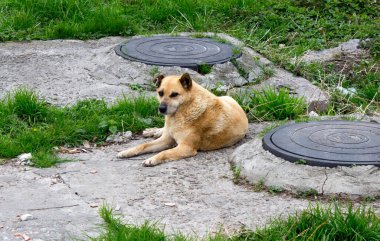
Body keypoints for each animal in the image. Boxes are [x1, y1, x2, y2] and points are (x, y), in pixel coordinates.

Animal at [119, 72, 249, 167]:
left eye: (174, 94)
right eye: (160, 93)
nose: (161, 109)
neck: (184, 111)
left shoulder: (186, 148)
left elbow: (164, 152)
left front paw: (152, 159)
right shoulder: (166, 140)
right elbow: (143, 145)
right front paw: (127, 151)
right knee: (163, 129)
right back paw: (153, 131)